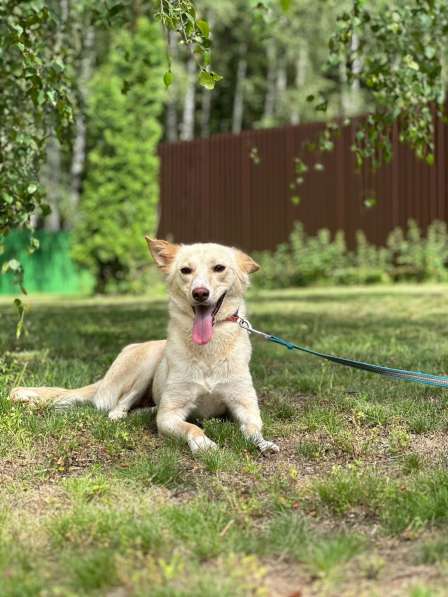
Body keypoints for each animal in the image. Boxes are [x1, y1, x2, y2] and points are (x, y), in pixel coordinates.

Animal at [8, 236, 278, 452]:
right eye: (185, 270)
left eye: (219, 268)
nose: (200, 293)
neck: (209, 350)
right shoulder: (169, 415)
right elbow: (192, 427)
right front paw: (203, 444)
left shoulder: (245, 406)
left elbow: (253, 429)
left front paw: (263, 443)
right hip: (147, 364)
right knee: (120, 403)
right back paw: (118, 414)